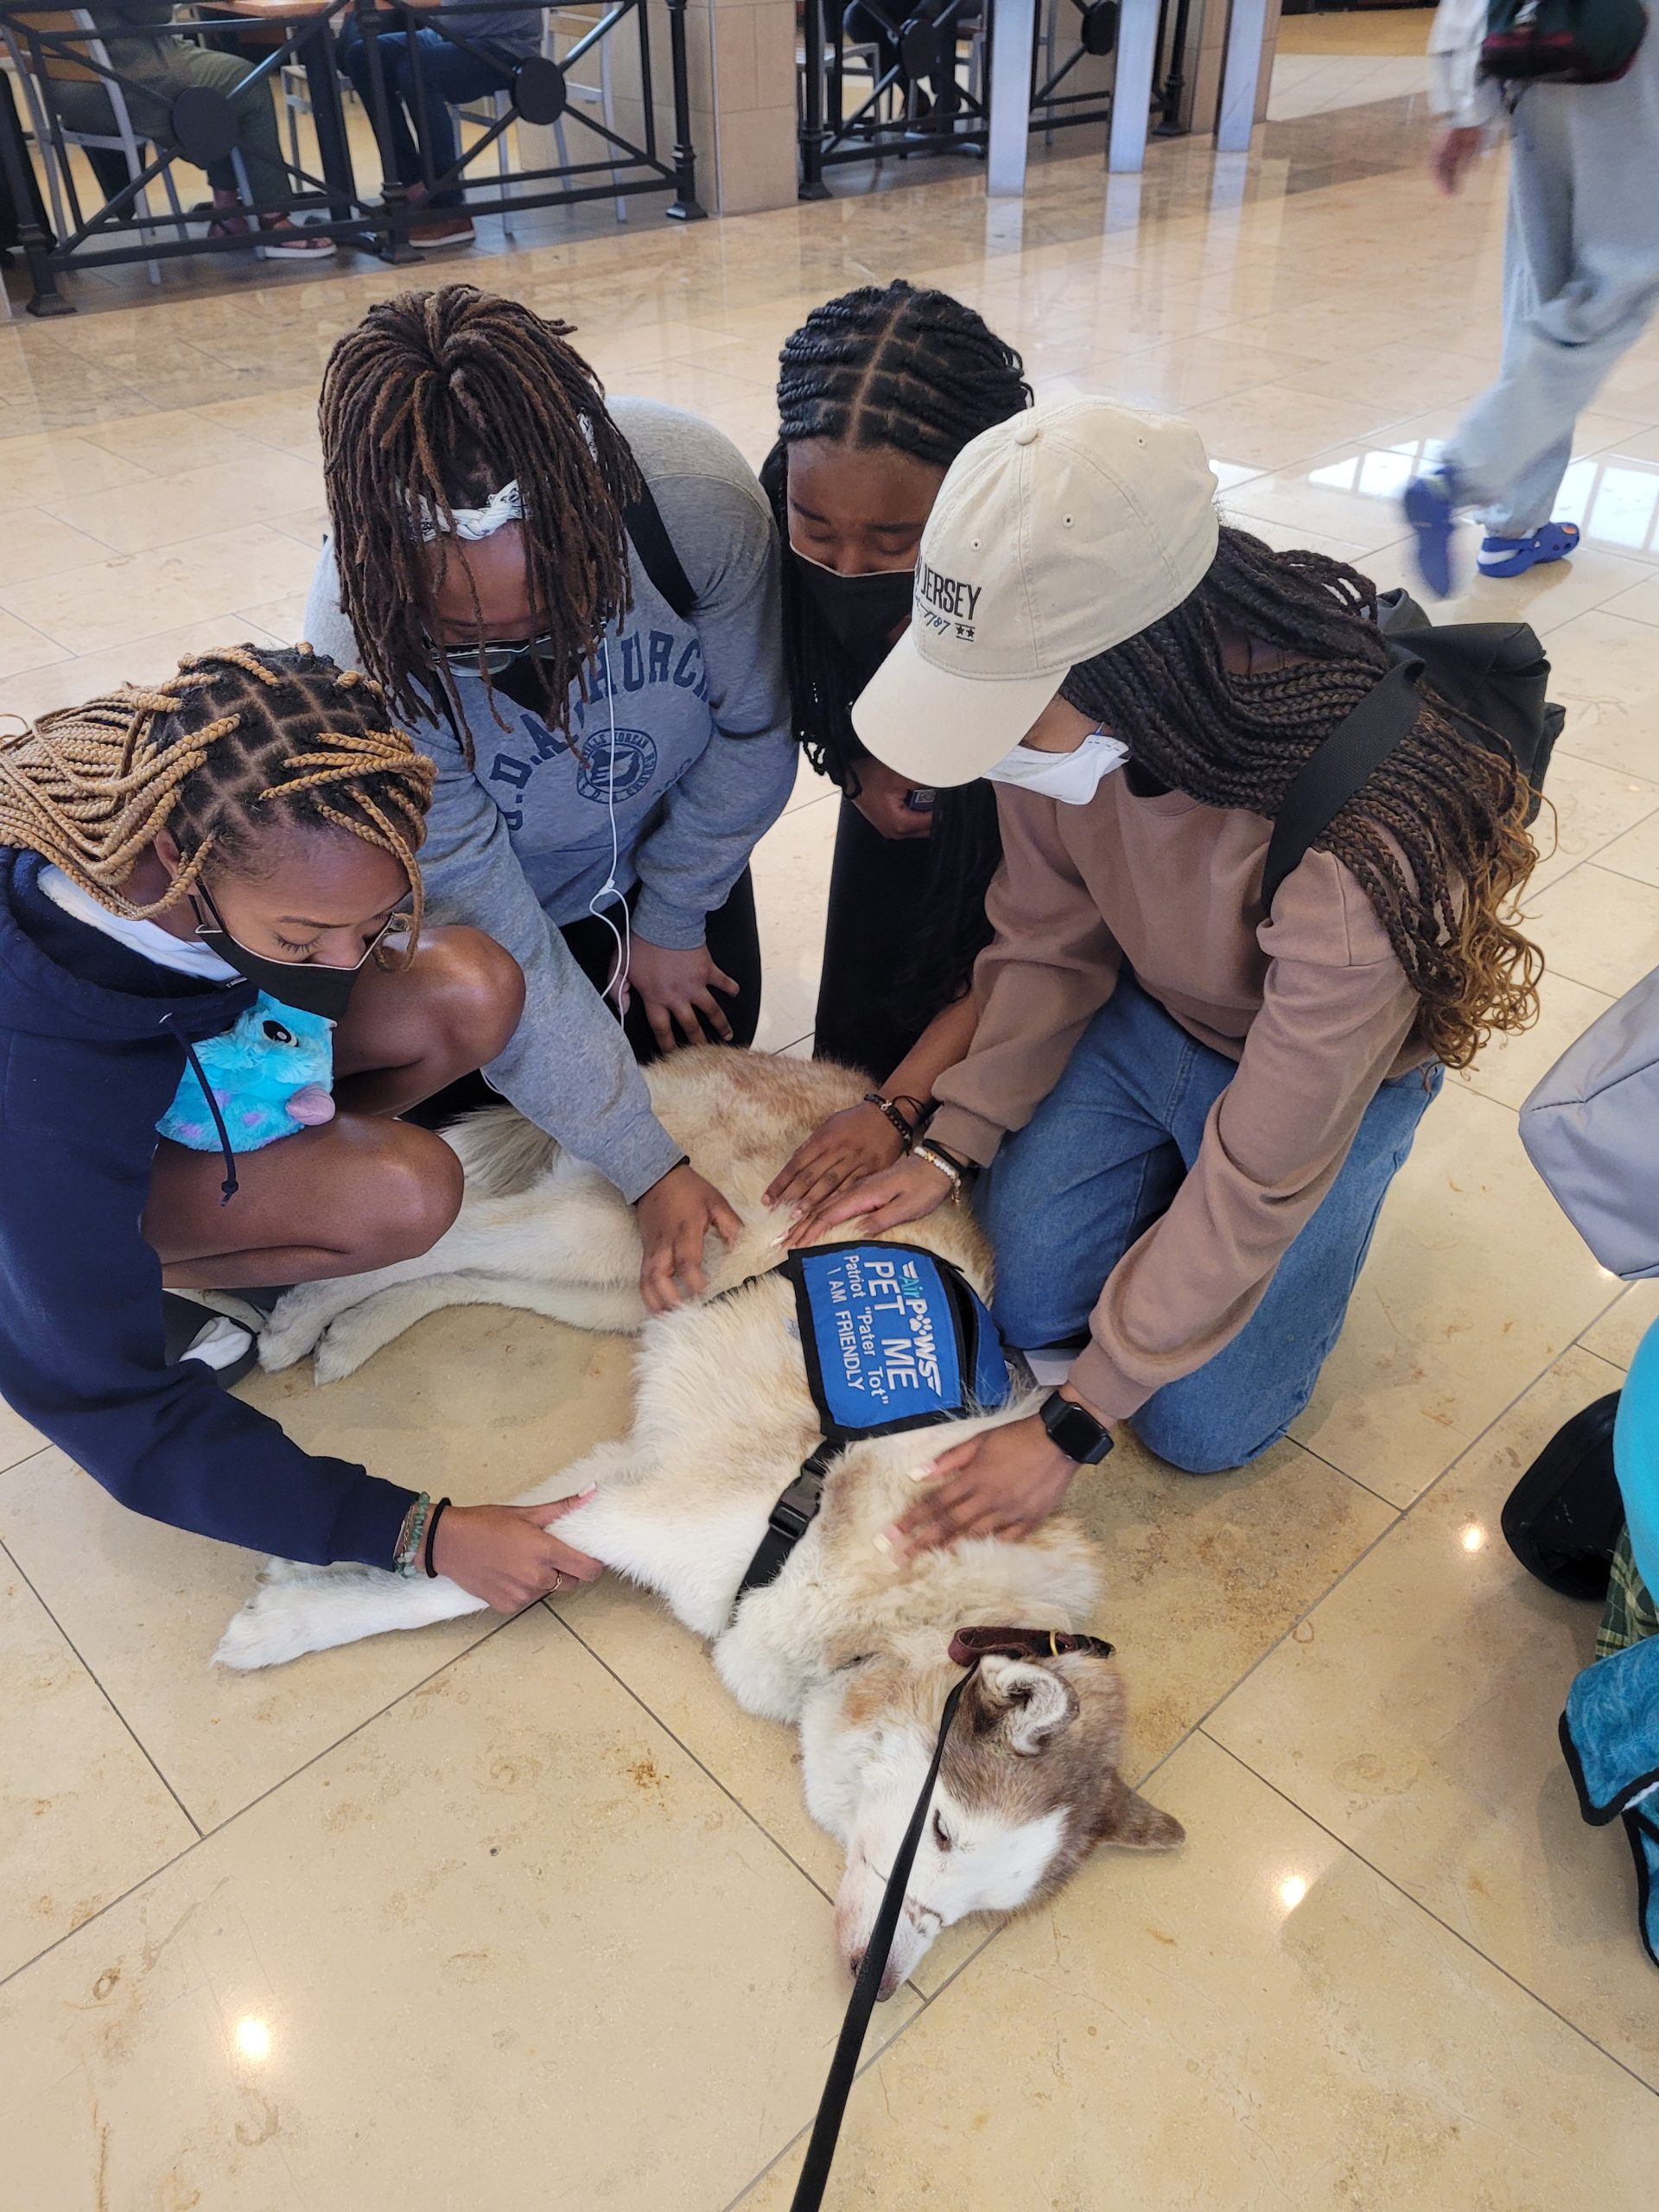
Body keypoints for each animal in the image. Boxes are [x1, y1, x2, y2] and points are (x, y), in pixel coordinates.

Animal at [218, 1048, 1185, 1991]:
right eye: (942, 1831)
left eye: (981, 1909)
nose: (877, 1983)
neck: (893, 1616)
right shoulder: (641, 1510)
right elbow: (460, 1580)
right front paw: (286, 1624)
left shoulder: (627, 1481)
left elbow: (490, 1543)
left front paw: (320, 1574)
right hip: (596, 1235)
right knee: (444, 1231)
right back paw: (298, 1316)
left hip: (617, 1289)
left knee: (463, 1273)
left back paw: (351, 1333)